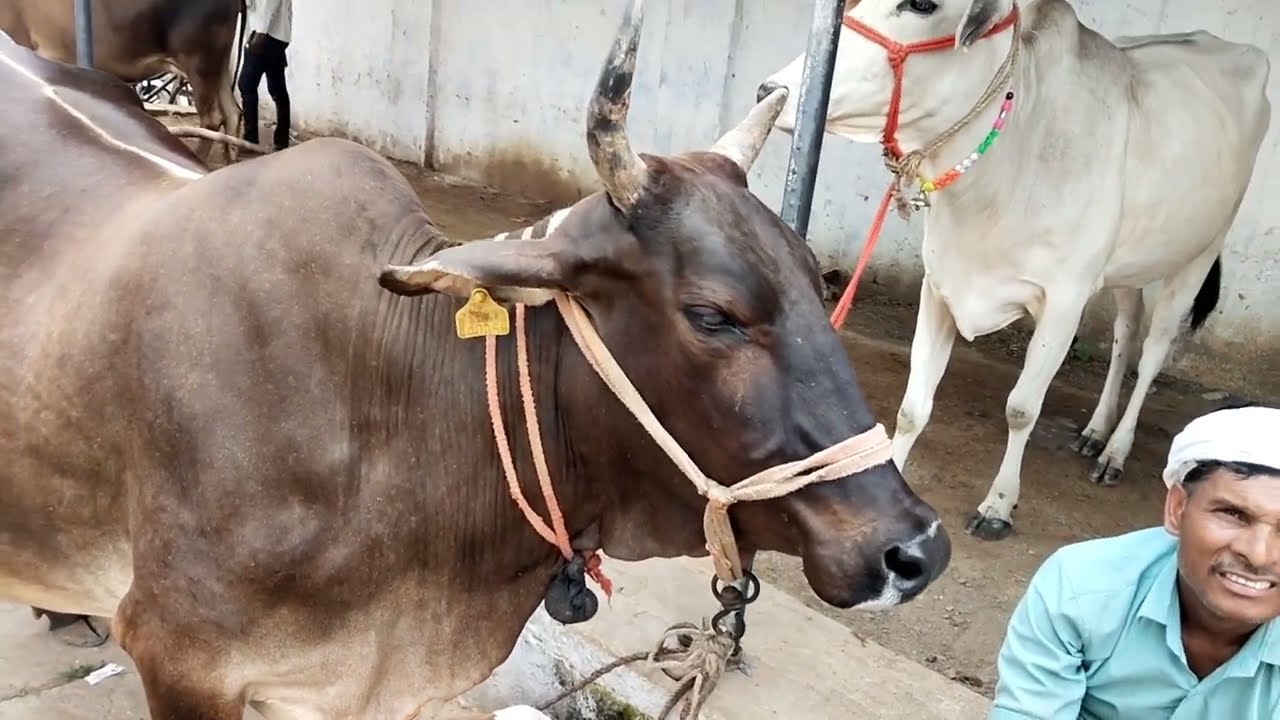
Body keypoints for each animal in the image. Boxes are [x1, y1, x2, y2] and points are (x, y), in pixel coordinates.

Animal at [757, 0, 1272, 540]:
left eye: (922, 5)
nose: (771, 90)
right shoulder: (940, 286)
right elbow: (913, 405)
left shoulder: (1064, 303)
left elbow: (1022, 409)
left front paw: (999, 505)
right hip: (1126, 267)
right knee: (1125, 332)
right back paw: (1096, 429)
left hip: (1199, 252)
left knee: (1153, 352)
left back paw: (1116, 449)